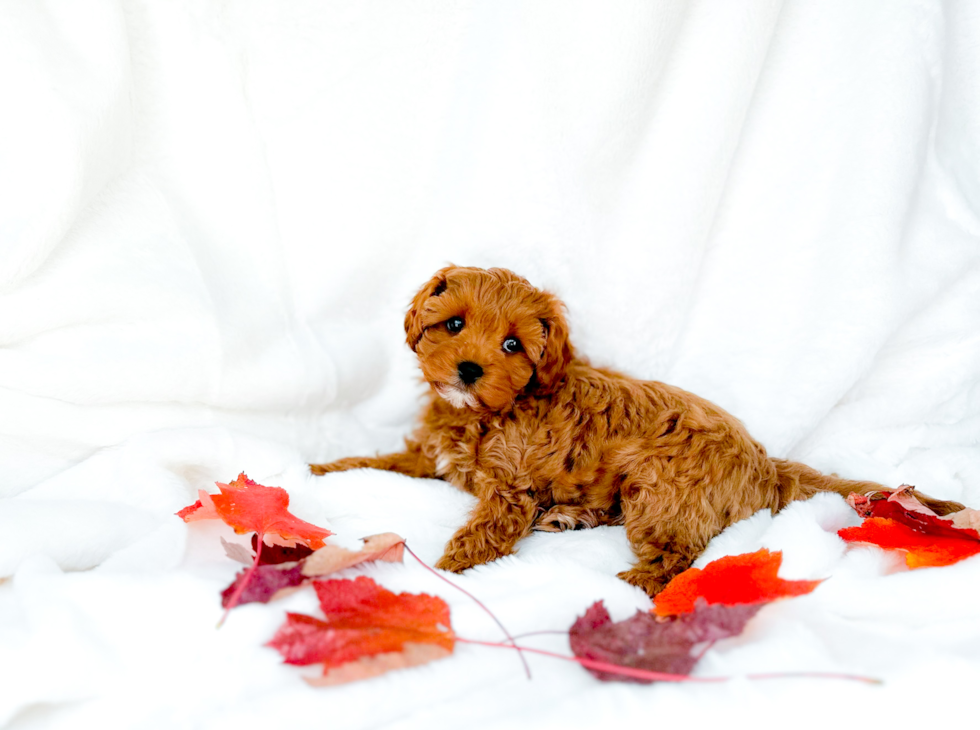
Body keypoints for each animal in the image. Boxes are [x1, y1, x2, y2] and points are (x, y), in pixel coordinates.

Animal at [316, 264, 964, 596]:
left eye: (512, 346)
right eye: (453, 325)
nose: (469, 371)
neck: (482, 414)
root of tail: (764, 462)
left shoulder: (510, 488)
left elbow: (486, 530)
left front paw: (449, 569)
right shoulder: (430, 456)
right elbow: (381, 461)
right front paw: (323, 467)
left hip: (658, 490)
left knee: (680, 555)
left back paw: (636, 582)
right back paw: (570, 517)